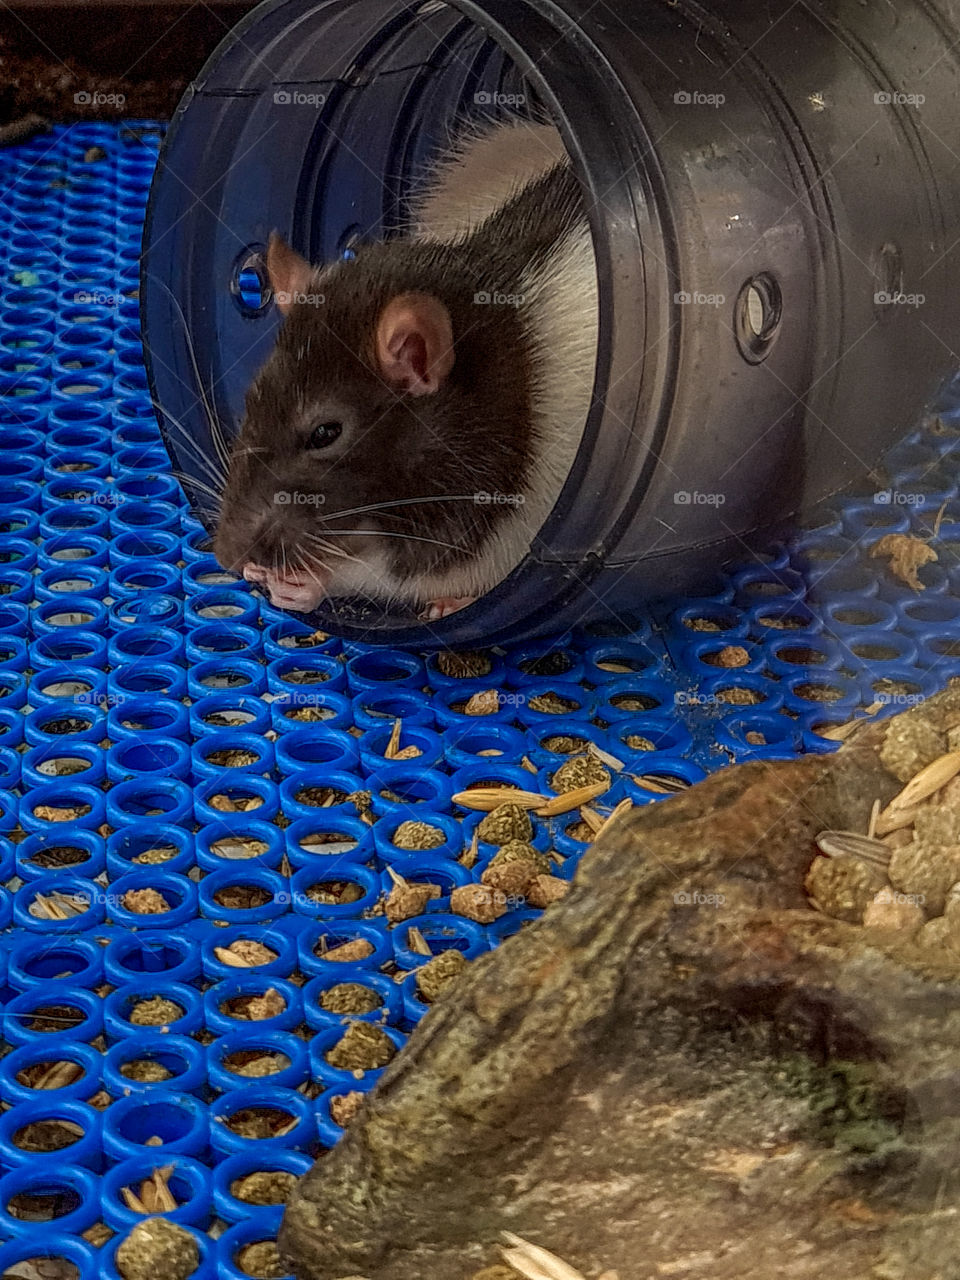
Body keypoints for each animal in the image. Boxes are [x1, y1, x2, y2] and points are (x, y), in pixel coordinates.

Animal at [213, 116, 599, 620]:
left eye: (325, 433)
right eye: (251, 400)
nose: (226, 556)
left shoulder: (472, 500)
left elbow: (411, 567)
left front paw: (312, 580)